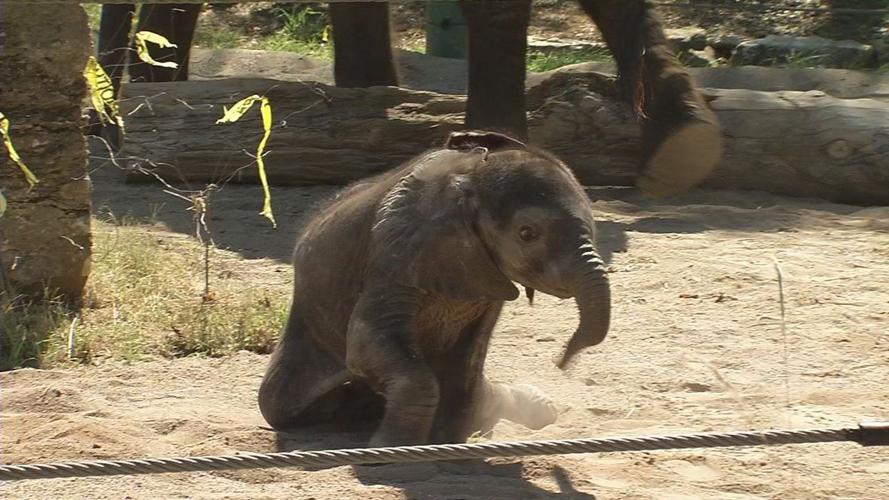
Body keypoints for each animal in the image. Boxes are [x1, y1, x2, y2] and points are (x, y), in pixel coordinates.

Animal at [258, 130, 611, 446]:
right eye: (527, 234)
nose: (561, 363)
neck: (469, 177)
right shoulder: (393, 256)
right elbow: (367, 342)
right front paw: (392, 450)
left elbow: (467, 360)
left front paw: (446, 444)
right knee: (280, 406)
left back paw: (540, 408)